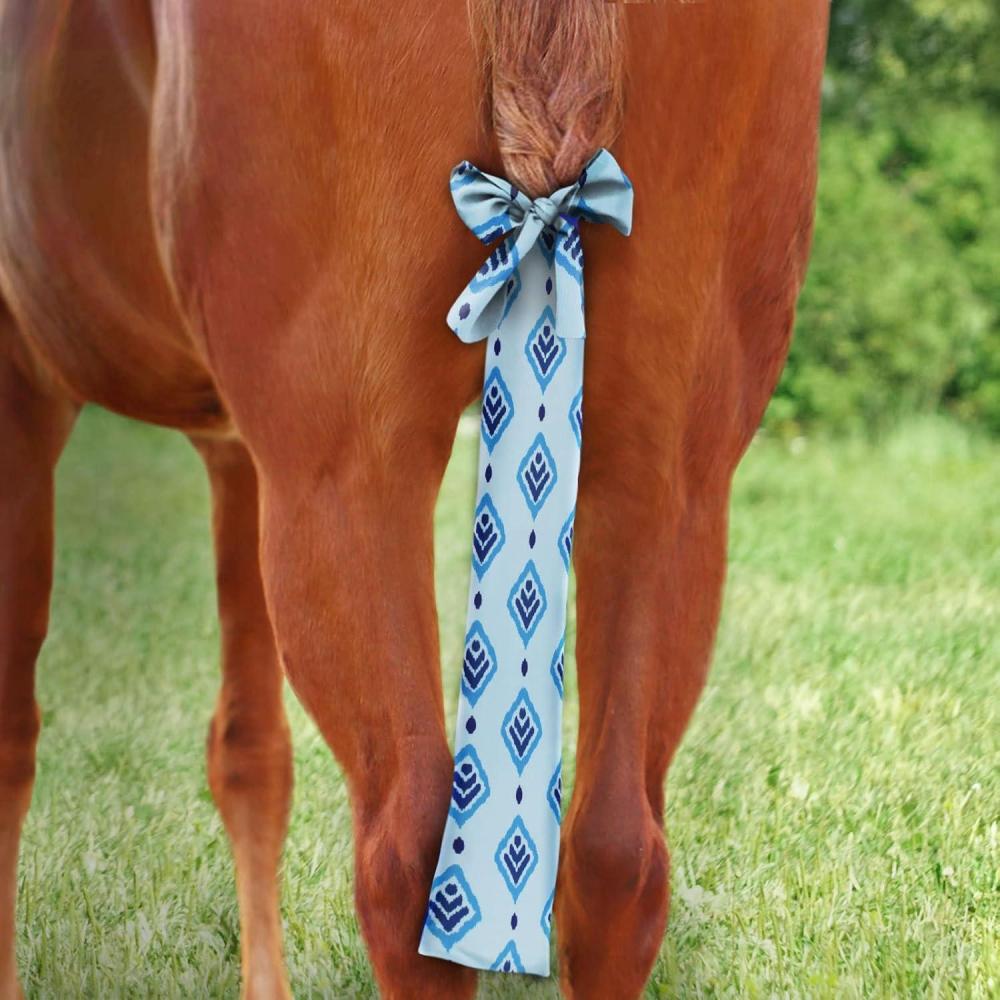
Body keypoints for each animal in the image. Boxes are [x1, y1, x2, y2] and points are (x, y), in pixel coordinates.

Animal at [0, 1, 829, 996]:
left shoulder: (28, 392)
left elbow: (13, 740)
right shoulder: (235, 449)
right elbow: (250, 753)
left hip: (347, 476)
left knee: (406, 856)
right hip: (670, 479)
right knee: (616, 855)